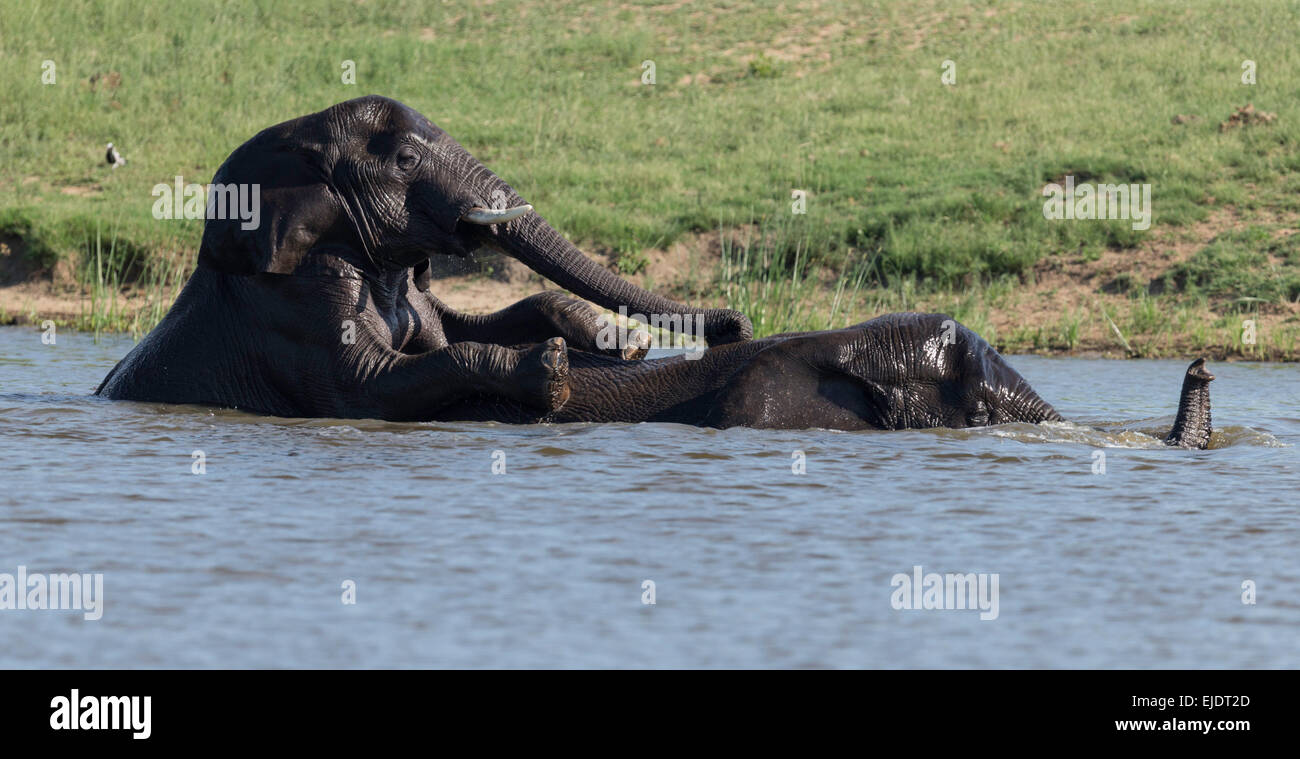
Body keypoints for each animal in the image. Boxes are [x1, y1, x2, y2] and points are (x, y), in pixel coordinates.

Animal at [96, 96, 754, 418]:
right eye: (407, 162)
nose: (736, 326)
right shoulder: (290, 304)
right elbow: (365, 386)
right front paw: (551, 370)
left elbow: (460, 328)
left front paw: (622, 343)